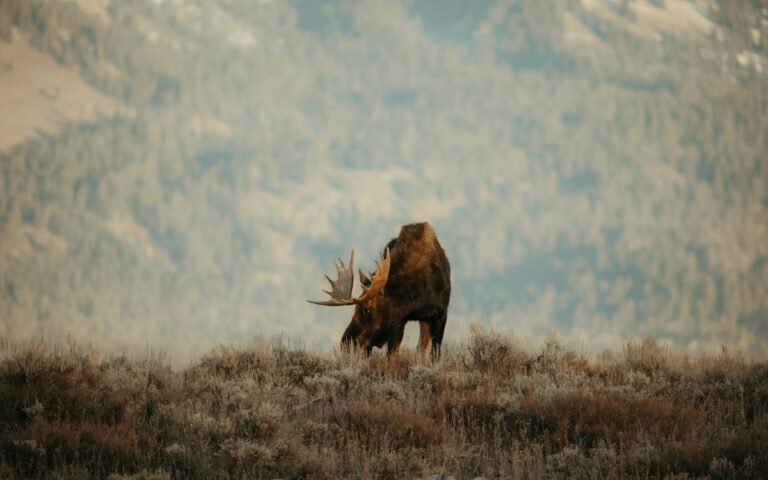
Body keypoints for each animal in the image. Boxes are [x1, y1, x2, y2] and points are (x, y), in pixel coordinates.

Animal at [308, 223, 451, 360]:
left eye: (366, 309)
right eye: (355, 308)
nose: (346, 342)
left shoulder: (441, 313)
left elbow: (434, 355)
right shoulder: (398, 323)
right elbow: (391, 357)